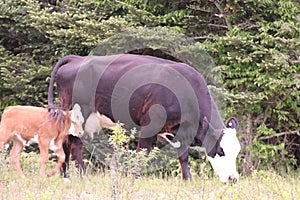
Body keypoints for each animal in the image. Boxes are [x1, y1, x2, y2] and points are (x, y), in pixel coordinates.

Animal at [48, 54, 241, 182]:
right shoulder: (150, 124)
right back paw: (83, 176)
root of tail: (77, 59)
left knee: (65, 142)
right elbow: (143, 152)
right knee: (75, 144)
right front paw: (135, 177)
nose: (233, 178)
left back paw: (65, 176)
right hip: (79, 113)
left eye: (237, 152)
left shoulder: (180, 131)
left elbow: (183, 156)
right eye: (221, 150)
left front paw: (188, 180)